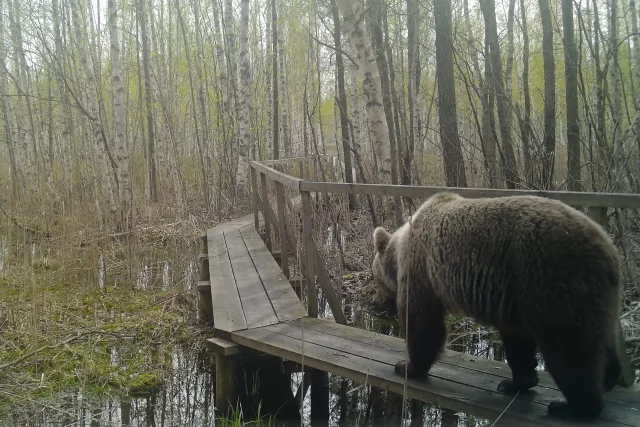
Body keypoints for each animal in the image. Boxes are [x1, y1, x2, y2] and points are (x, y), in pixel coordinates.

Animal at [372, 193, 624, 422]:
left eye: (374, 278)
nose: (376, 302)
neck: (400, 249)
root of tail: (610, 251)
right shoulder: (511, 296)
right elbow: (517, 341)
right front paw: (515, 382)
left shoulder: (423, 269)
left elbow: (422, 322)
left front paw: (407, 366)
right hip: (591, 297)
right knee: (601, 339)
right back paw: (608, 378)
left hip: (554, 279)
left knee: (568, 348)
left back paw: (572, 406)